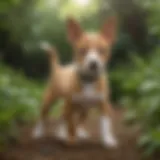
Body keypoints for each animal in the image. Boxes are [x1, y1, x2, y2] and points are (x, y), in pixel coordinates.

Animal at [32, 16, 117, 147]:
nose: (93, 63)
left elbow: (105, 124)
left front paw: (108, 140)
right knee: (43, 116)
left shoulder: (104, 105)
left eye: (102, 50)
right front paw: (71, 140)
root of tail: (59, 68)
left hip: (84, 109)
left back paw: (73, 133)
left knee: (70, 118)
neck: (88, 80)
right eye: (82, 50)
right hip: (49, 100)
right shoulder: (70, 105)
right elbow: (71, 124)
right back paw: (40, 132)